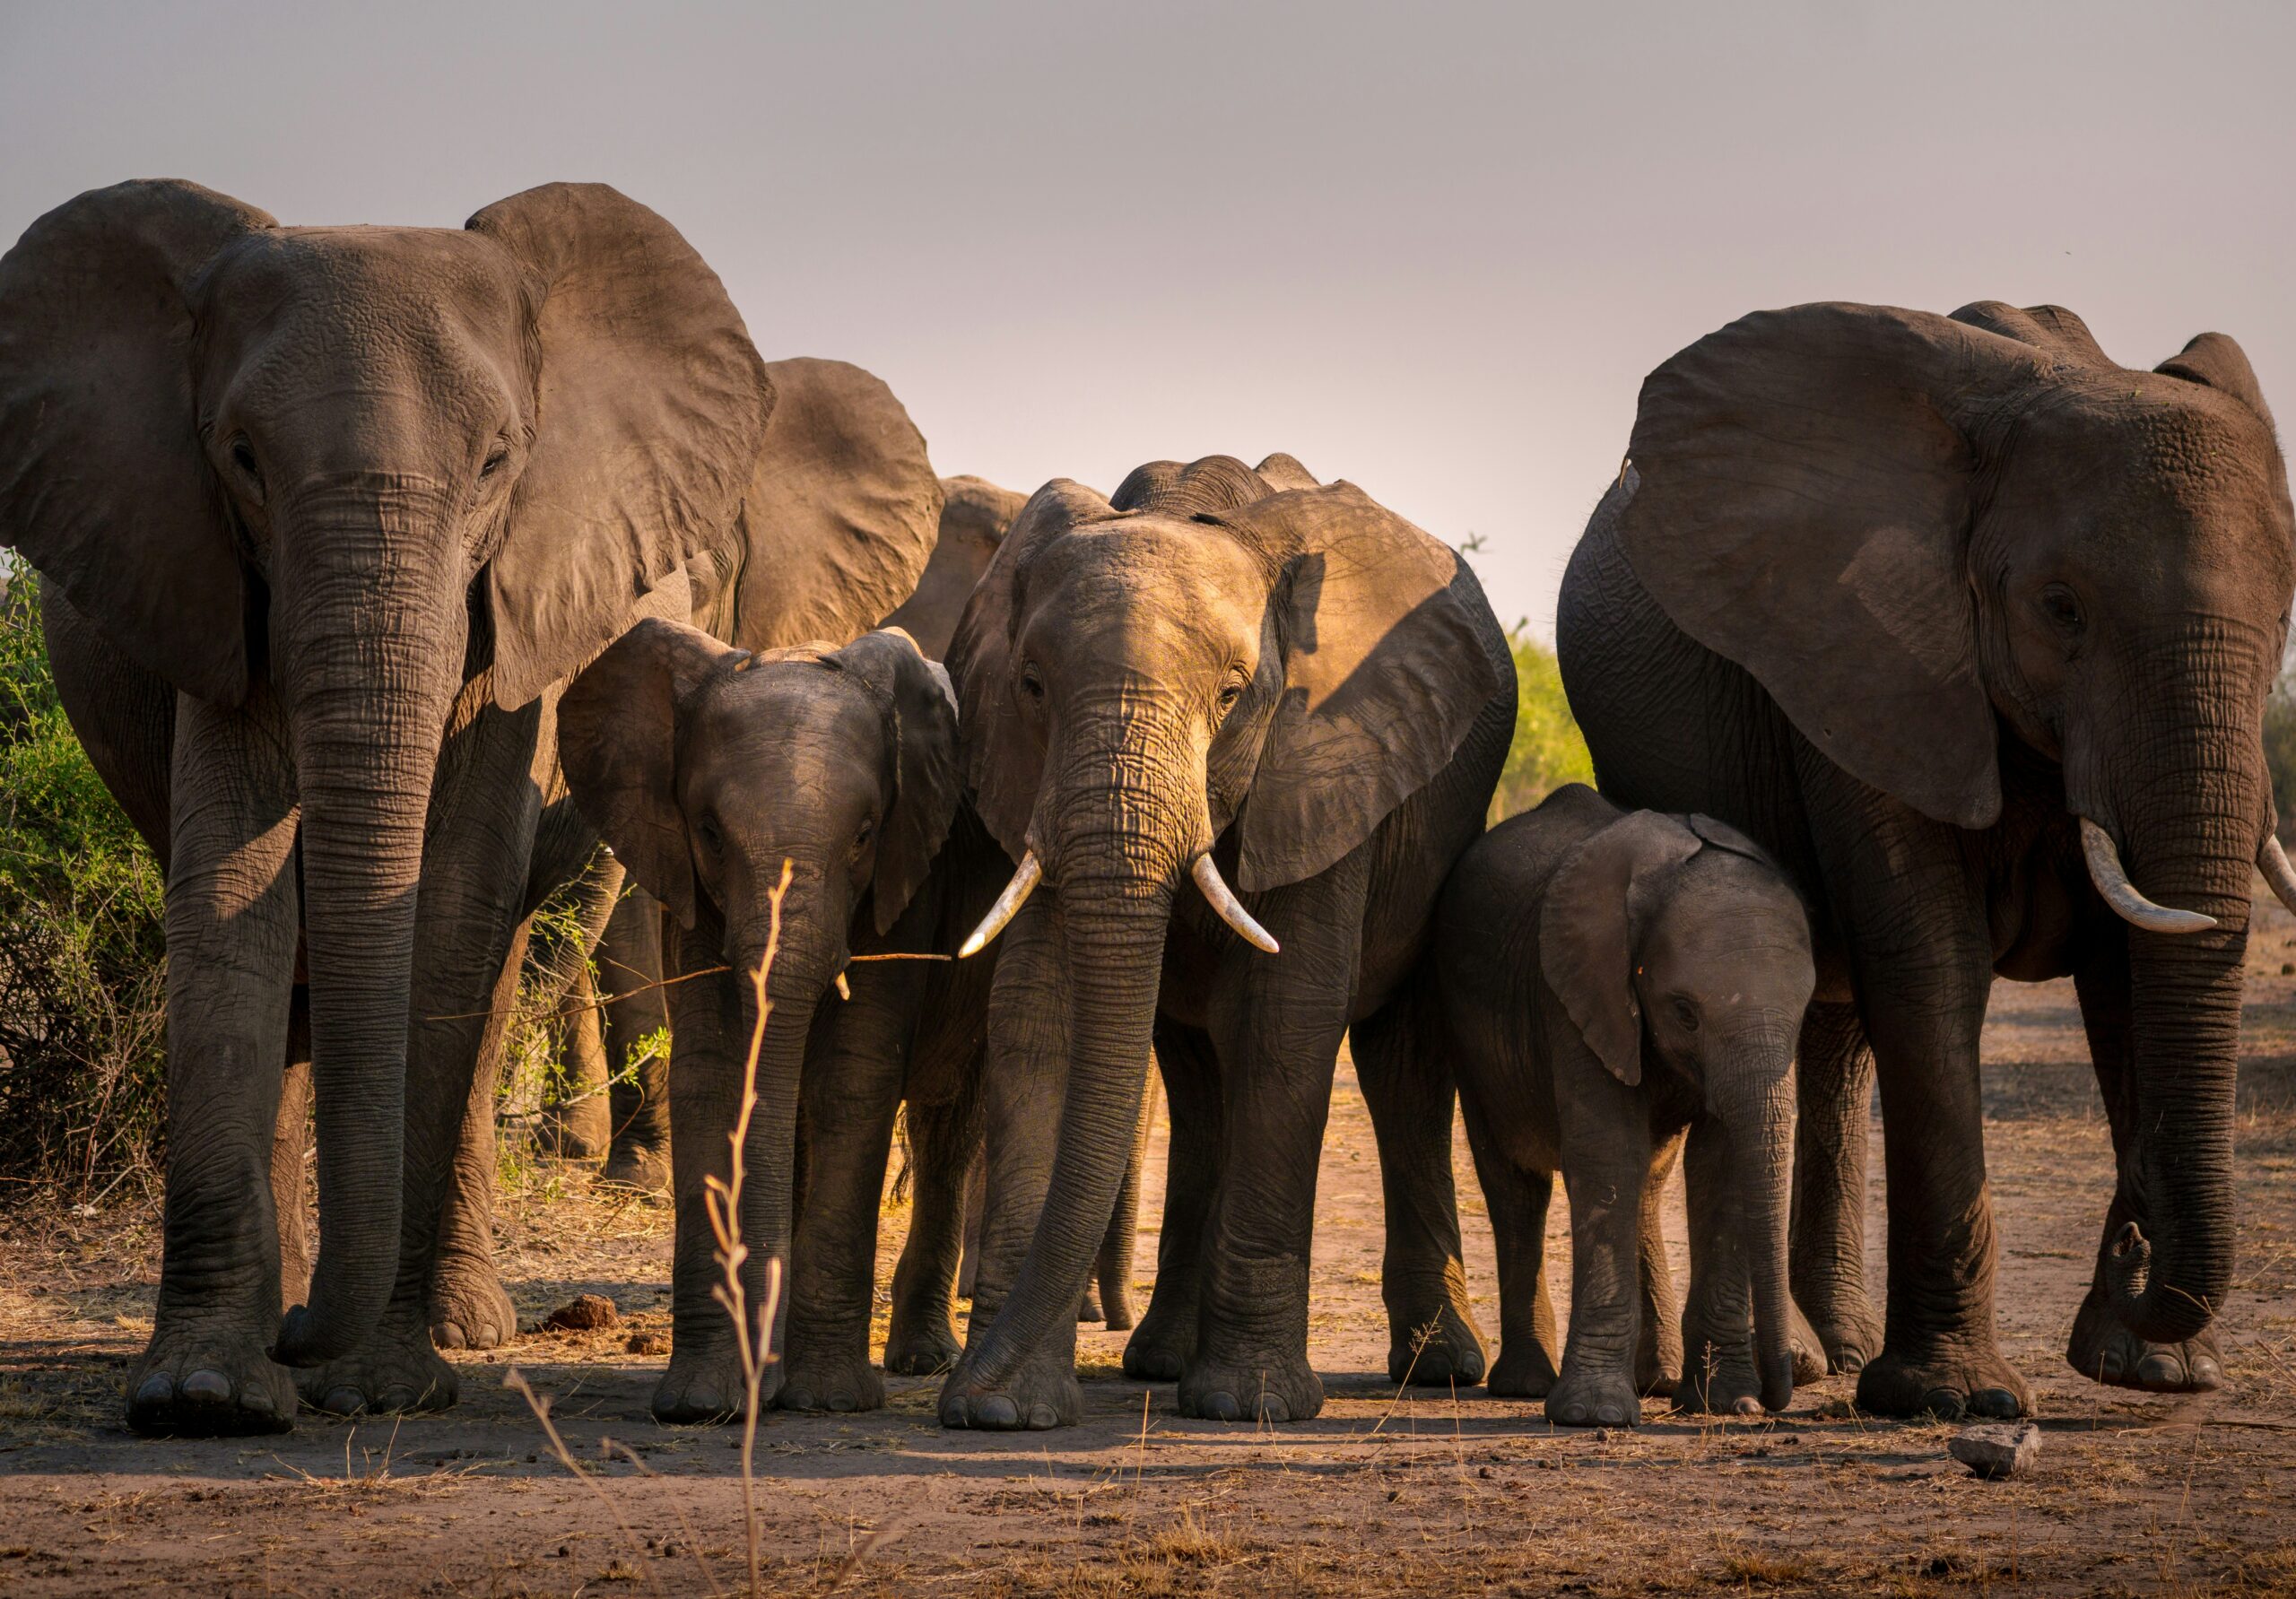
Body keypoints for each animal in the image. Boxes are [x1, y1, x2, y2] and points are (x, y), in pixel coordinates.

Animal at [0, 179, 939, 1435]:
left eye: (499, 461)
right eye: (239, 456)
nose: (317, 1342)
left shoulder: (525, 625)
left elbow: (447, 905)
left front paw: (383, 1386)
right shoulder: (205, 581)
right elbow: (231, 896)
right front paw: (204, 1395)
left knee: (484, 978)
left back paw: (451, 1326)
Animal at [936, 453, 1515, 1429]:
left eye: (1233, 696)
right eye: (1032, 687)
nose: (964, 1387)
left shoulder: (1323, 757)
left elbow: (1286, 1018)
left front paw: (1250, 1406)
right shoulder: (1029, 773)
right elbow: (1038, 1012)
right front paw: (1003, 1410)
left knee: (1399, 1066)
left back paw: (1439, 1368)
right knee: (1199, 1077)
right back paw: (1160, 1360)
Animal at [1419, 784, 1814, 1424]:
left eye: (1804, 1010)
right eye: (1684, 1012)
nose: (1778, 1397)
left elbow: (1721, 1166)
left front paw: (1727, 1402)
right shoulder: (1575, 993)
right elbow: (1607, 1156)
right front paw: (1594, 1415)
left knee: (1649, 1180)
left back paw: (1659, 1379)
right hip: (1471, 1037)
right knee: (1516, 1186)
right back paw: (1526, 1384)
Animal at [1556, 300, 2296, 1419]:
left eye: (2286, 615)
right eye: (2060, 607)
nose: (2135, 1246)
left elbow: (2132, 972)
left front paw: (2151, 1369)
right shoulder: (1858, 656)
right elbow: (1932, 962)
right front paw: (1953, 1399)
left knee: (1831, 1037)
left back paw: (1835, 1348)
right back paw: (1790, 1366)